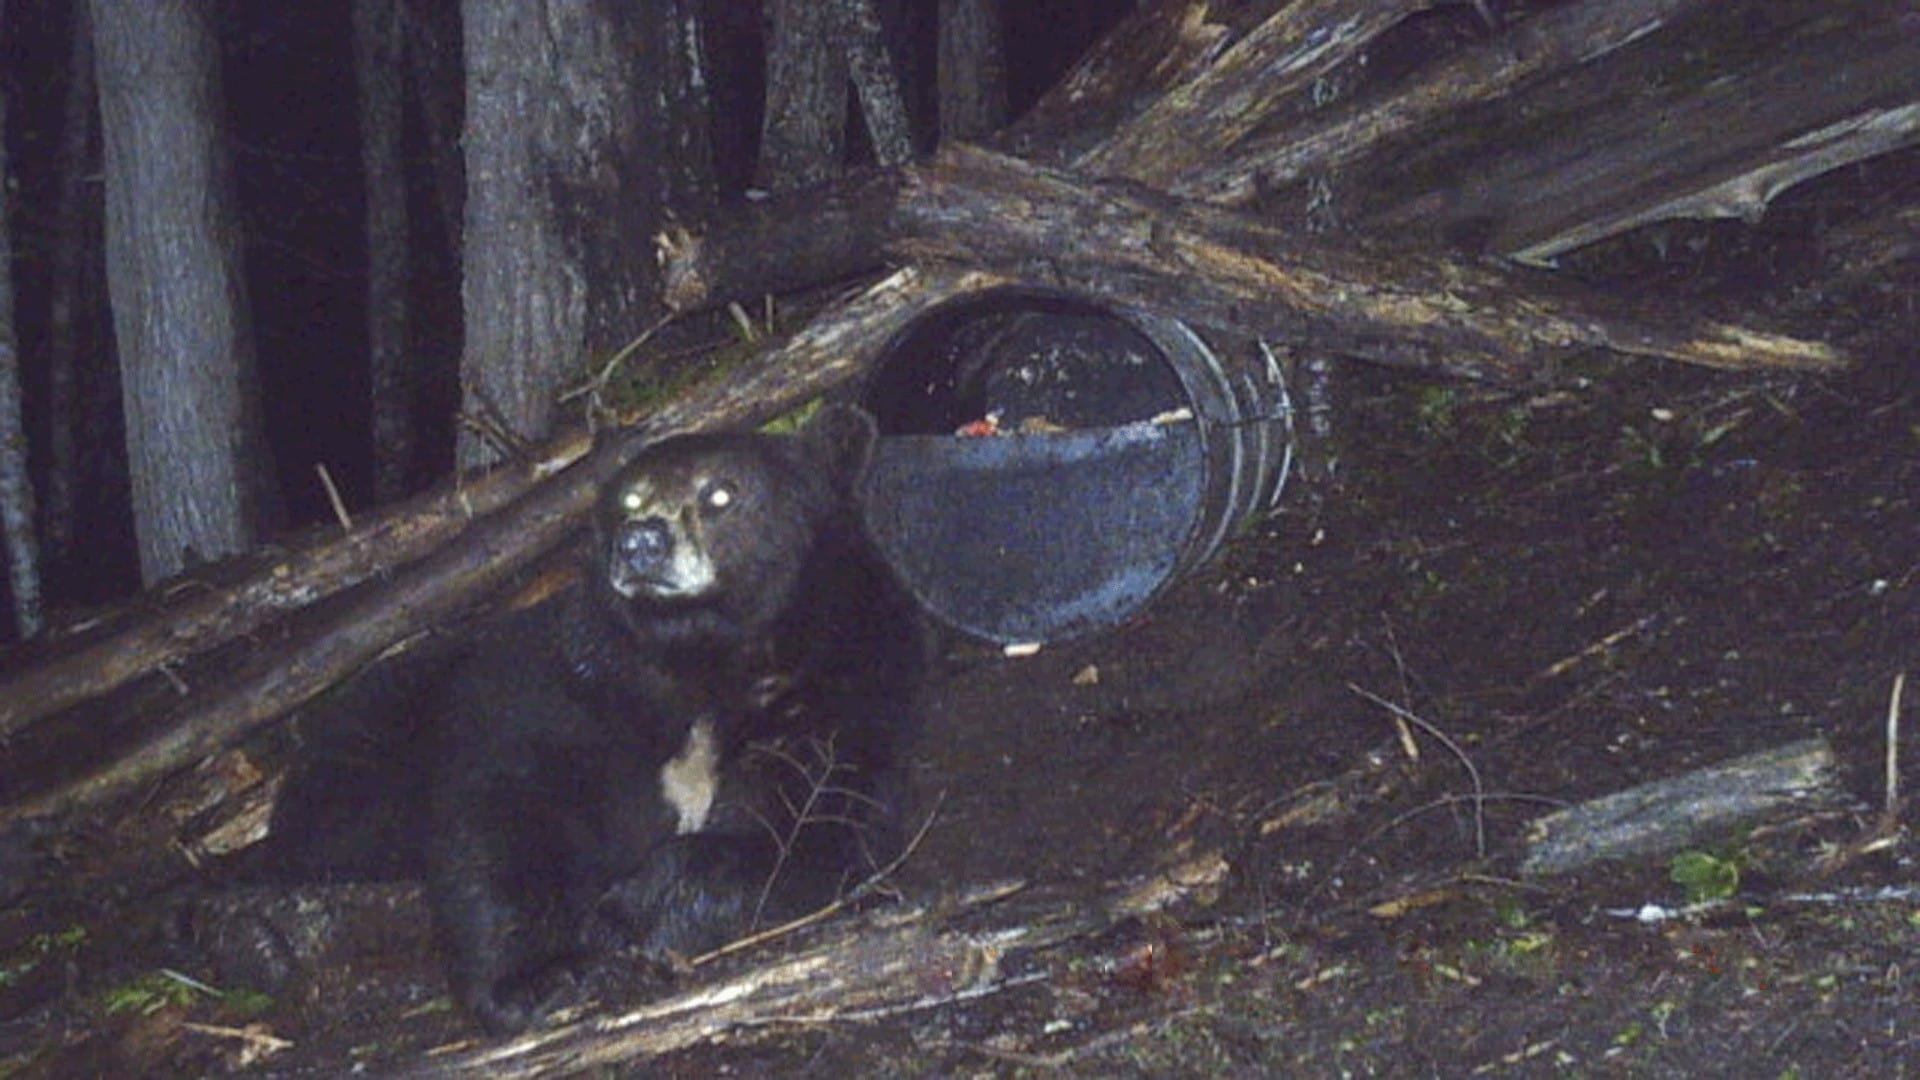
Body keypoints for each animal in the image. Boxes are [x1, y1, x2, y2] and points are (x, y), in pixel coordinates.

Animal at [259, 401, 925, 1022]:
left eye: (722, 491)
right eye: (628, 497)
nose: (641, 543)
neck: (698, 655)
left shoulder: (842, 691)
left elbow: (812, 827)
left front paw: (628, 911)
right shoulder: (573, 692)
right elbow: (500, 808)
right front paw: (532, 975)